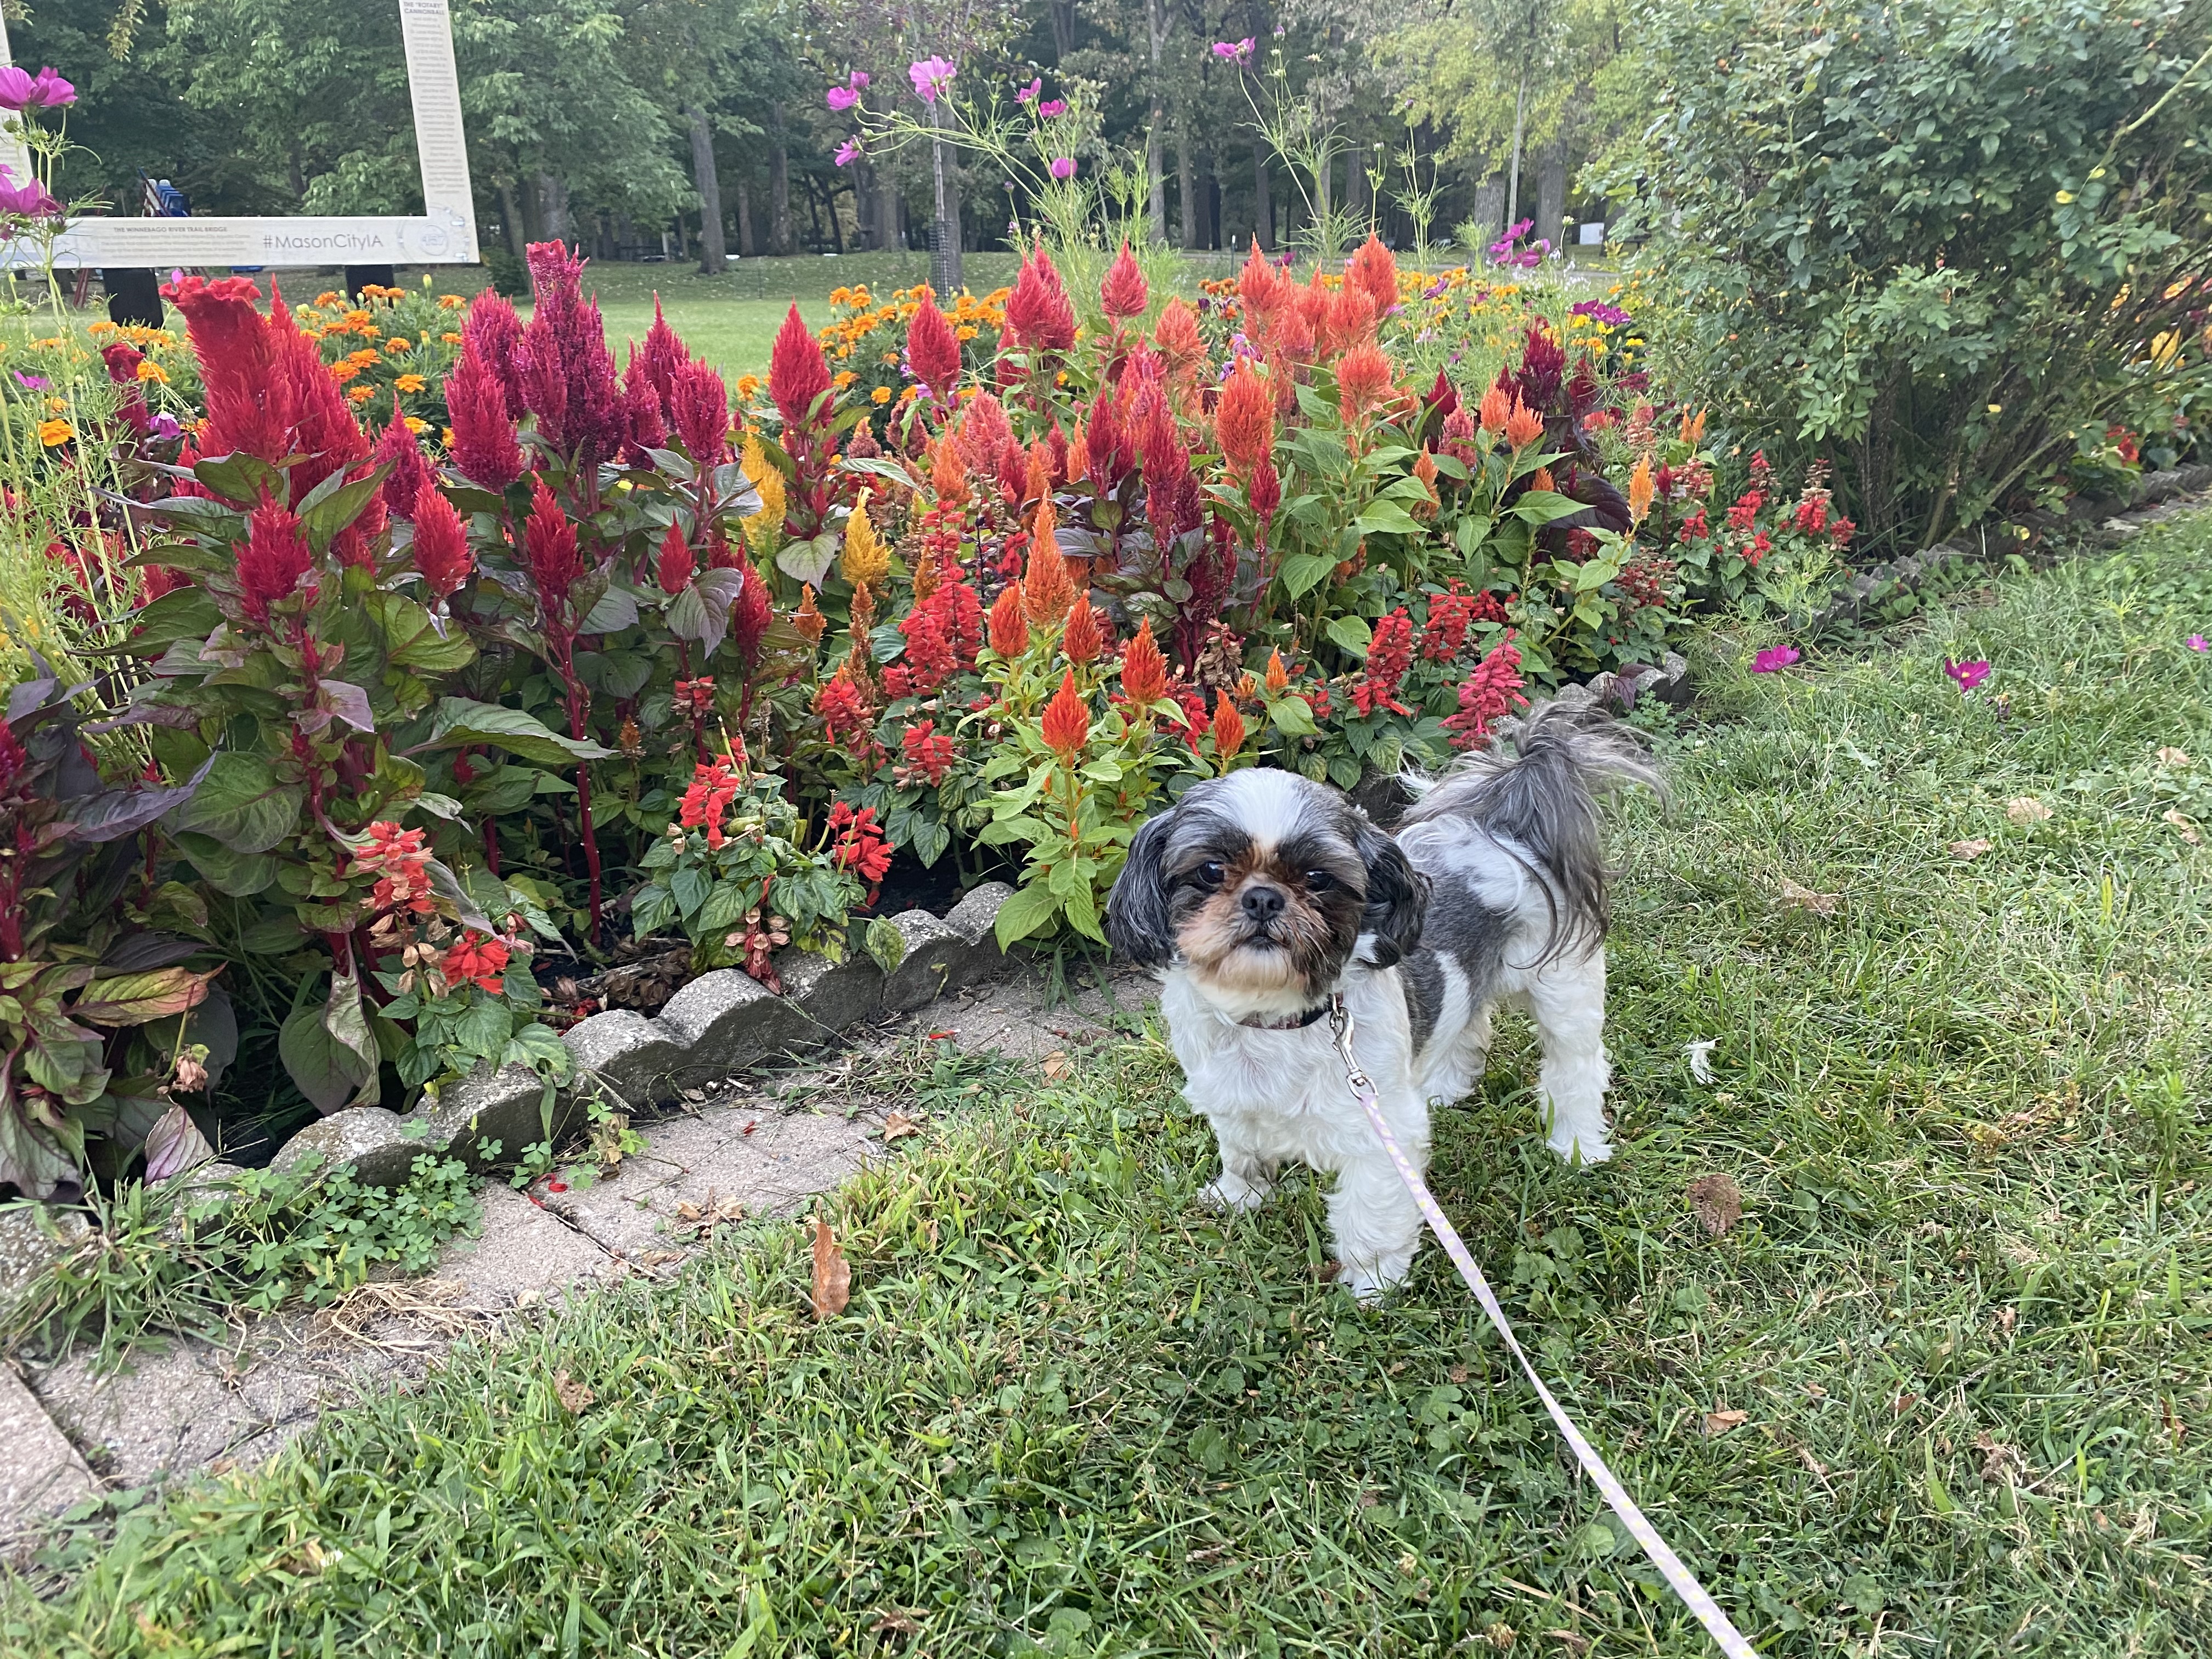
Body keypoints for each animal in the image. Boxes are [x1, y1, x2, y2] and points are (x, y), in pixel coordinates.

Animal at [1106, 703, 1663, 1300]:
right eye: (1211, 870)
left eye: (1318, 878)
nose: (1262, 898)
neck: (1274, 1021)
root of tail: (1504, 825)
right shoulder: (1229, 1099)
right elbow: (1242, 1153)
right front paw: (1239, 1197)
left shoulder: (1380, 1134)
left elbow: (1371, 1213)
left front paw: (1373, 1283)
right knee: (1469, 1019)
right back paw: (1446, 1085)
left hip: (1563, 987)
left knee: (1574, 1065)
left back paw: (1577, 1143)